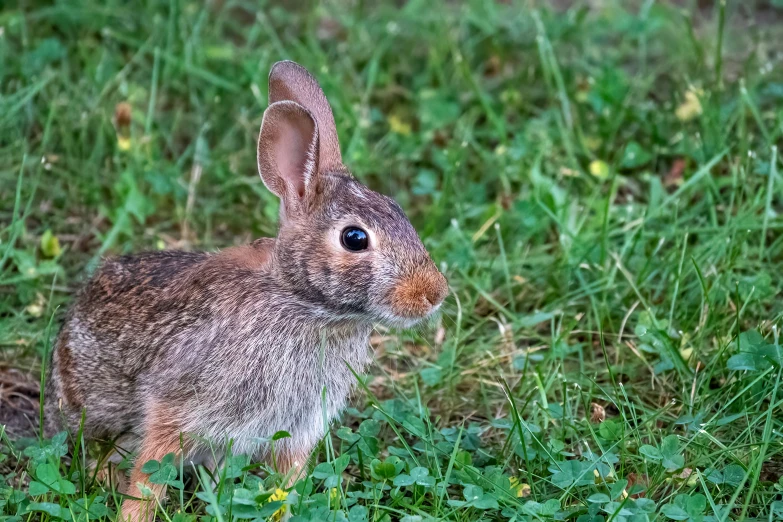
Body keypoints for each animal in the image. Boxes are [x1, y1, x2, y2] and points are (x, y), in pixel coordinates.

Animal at [46, 61, 450, 520]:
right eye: (354, 238)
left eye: (399, 210)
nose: (434, 294)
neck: (301, 303)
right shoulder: (175, 411)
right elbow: (149, 479)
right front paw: (133, 516)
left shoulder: (297, 430)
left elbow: (288, 485)